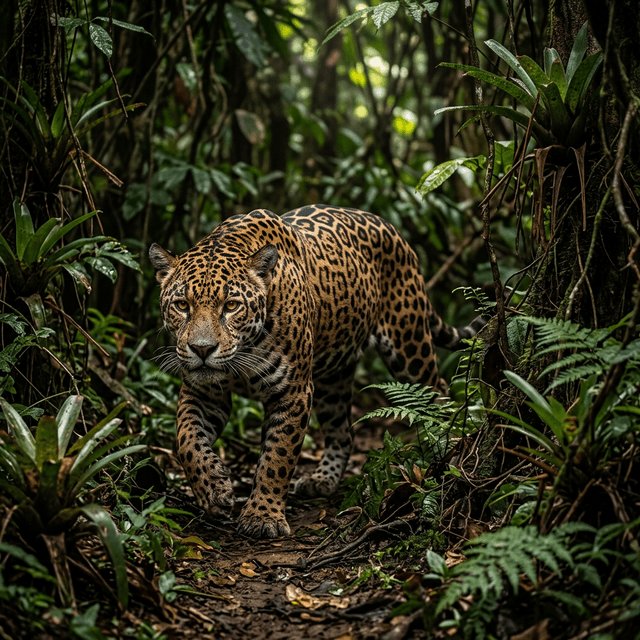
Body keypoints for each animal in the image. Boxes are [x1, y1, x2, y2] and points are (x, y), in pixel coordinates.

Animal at [149, 204, 484, 539]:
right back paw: (322, 480)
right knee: (342, 431)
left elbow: (277, 458)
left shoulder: (293, 392)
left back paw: (446, 449)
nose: (202, 349)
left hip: (410, 347)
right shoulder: (203, 392)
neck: (244, 349)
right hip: (333, 379)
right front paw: (214, 489)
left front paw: (263, 517)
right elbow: (186, 440)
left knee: (436, 393)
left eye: (231, 306)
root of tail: (391, 228)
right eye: (181, 305)